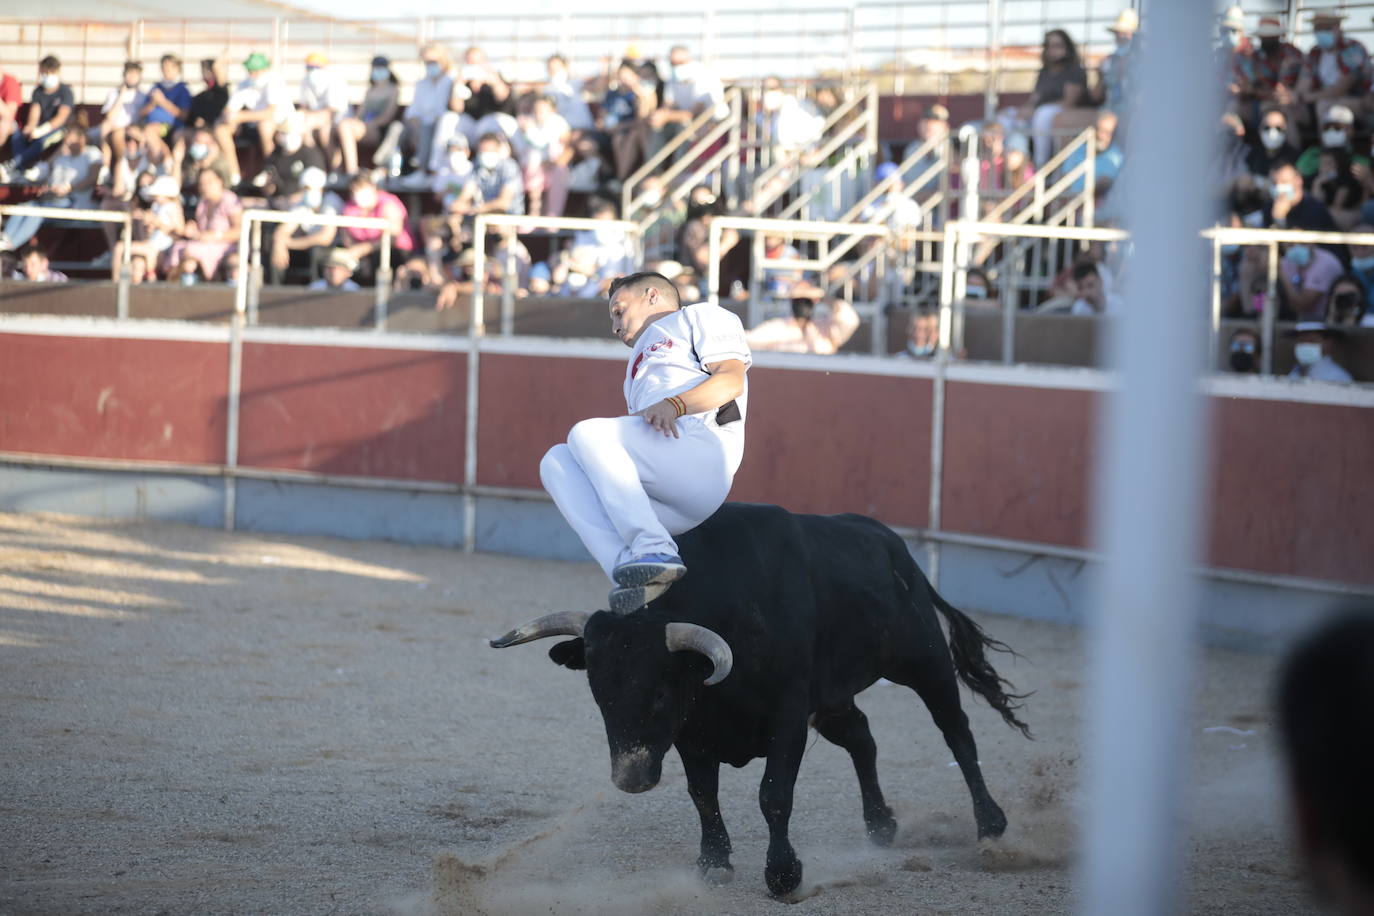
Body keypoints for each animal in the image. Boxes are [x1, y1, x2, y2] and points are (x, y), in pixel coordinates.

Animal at [489, 502, 1027, 895]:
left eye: (660, 692)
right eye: (598, 693)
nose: (630, 778)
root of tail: (893, 545)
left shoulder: (786, 718)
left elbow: (773, 794)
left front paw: (783, 875)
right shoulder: (694, 733)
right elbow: (703, 794)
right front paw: (713, 863)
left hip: (924, 661)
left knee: (957, 733)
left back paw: (991, 825)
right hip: (832, 698)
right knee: (862, 738)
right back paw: (880, 826)